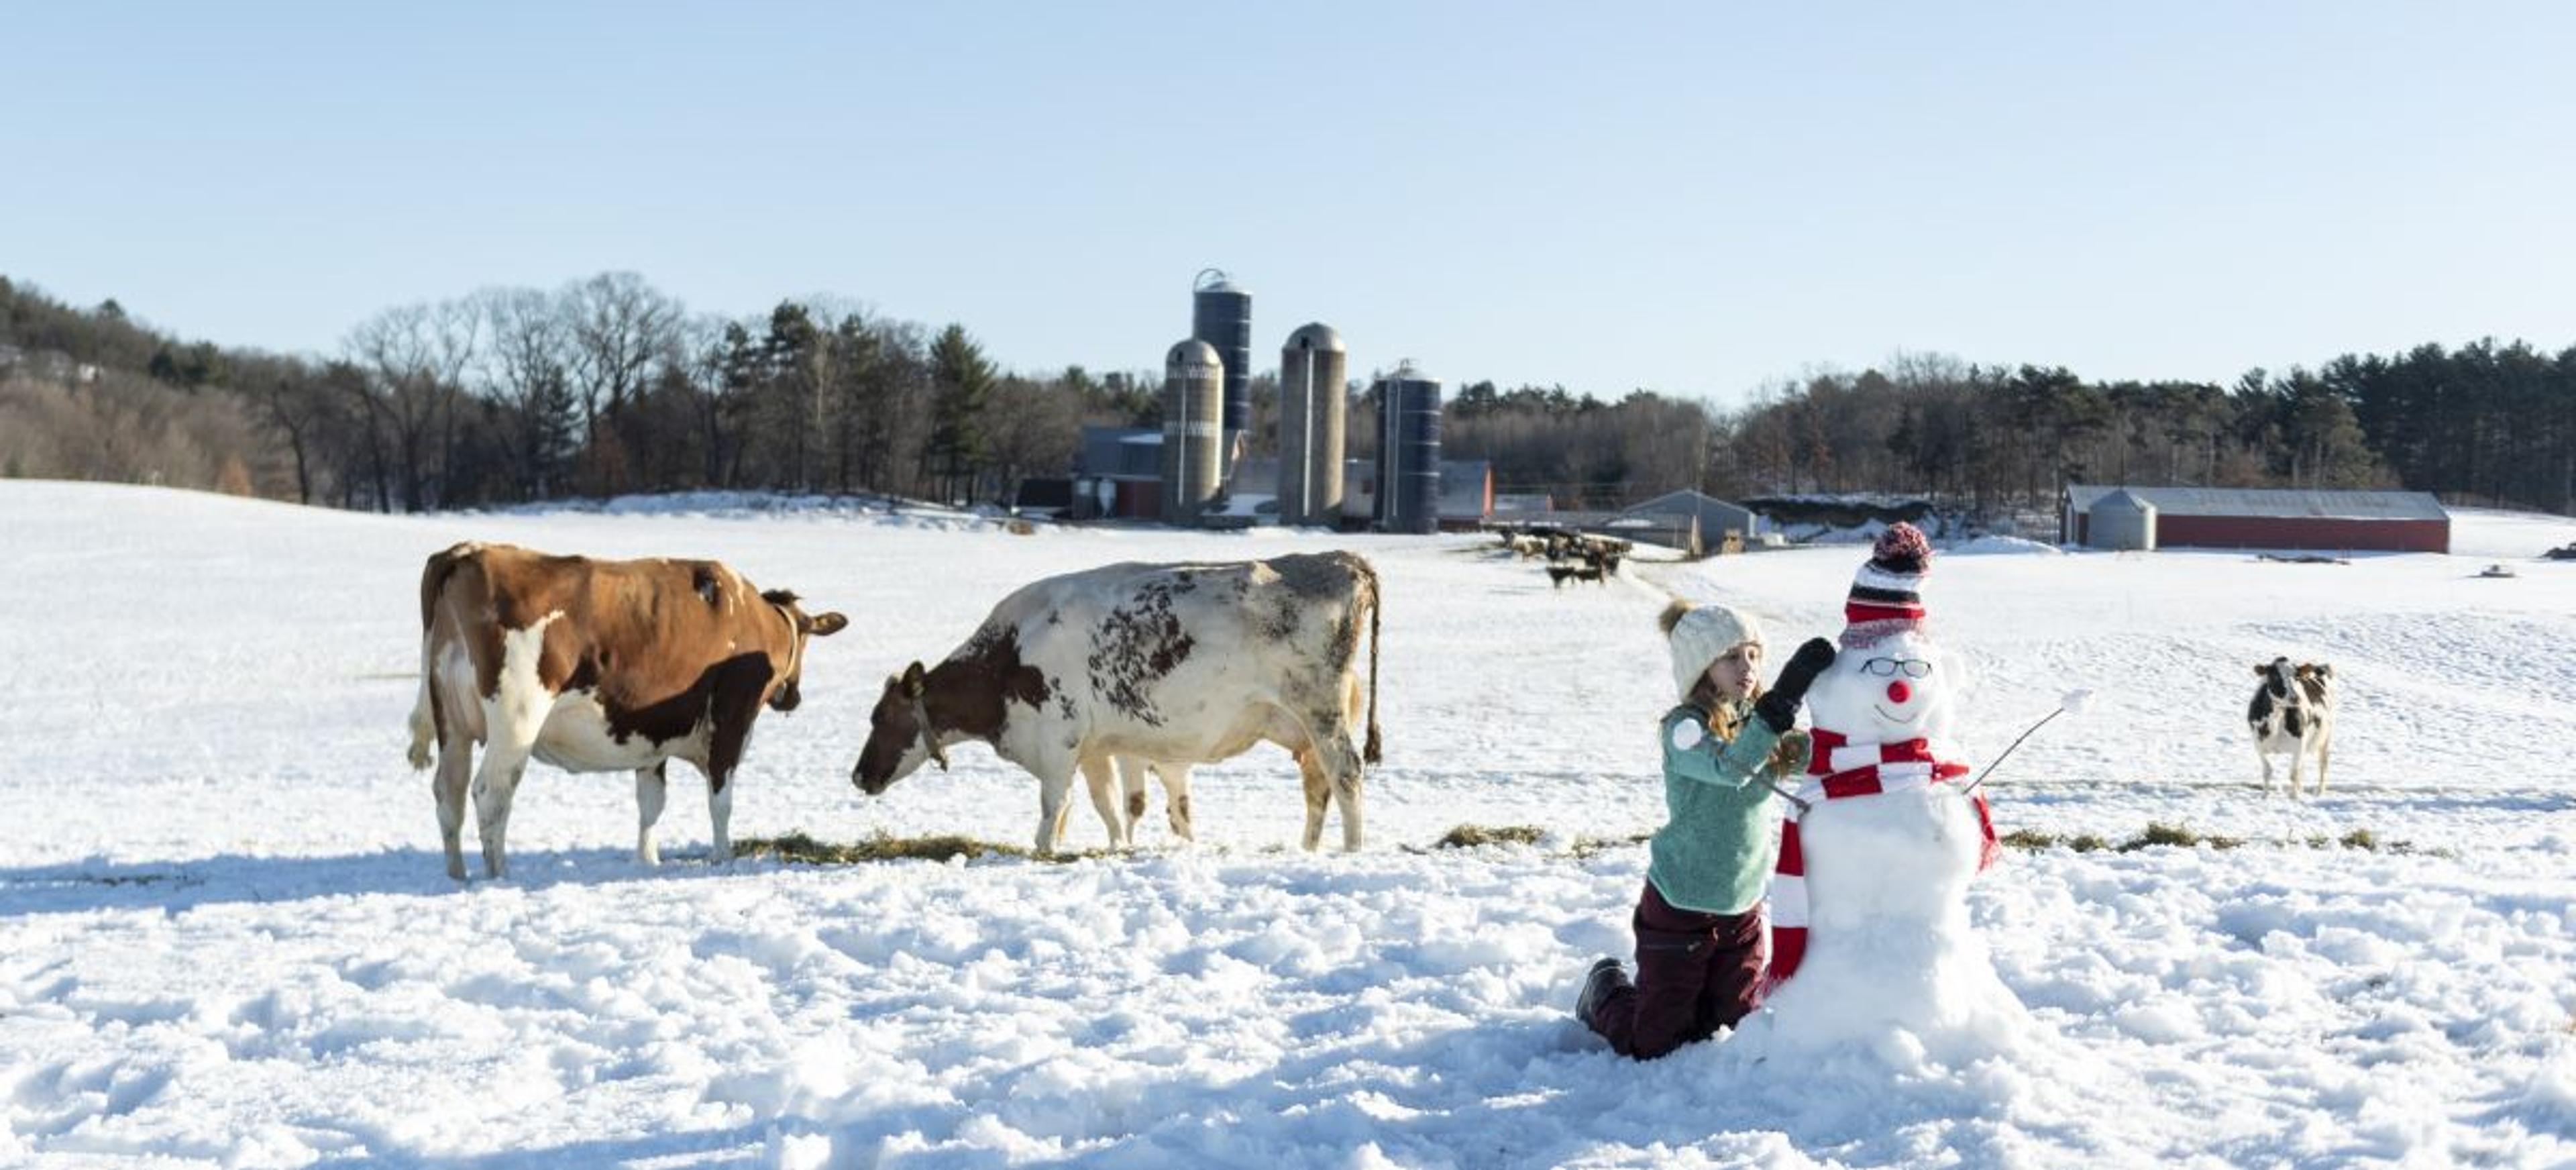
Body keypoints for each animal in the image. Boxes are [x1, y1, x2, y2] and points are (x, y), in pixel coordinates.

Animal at [405, 542, 847, 880]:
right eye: (807, 641)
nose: (792, 698)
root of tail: (468, 550)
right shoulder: (731, 720)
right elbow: (720, 801)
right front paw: (723, 858)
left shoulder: (652, 734)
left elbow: (651, 802)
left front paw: (647, 860)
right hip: (517, 719)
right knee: (491, 793)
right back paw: (499, 876)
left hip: (452, 723)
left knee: (450, 794)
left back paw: (458, 876)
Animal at [851, 552, 1383, 855]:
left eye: (881, 717)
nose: (858, 776)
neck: (1008, 657)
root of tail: (1340, 559)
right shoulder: (1096, 748)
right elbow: (1106, 805)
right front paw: (1116, 847)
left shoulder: (1058, 739)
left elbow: (1053, 807)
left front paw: (1044, 848)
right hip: (1301, 726)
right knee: (1318, 784)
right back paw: (1309, 848)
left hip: (1321, 709)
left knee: (1346, 774)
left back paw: (1353, 850)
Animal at [2248, 656, 2335, 798]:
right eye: (2275, 676)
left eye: (2297, 677)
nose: (2295, 698)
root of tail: (2320, 667)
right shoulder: (2258, 742)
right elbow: (2267, 771)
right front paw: (2265, 796)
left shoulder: (2299, 744)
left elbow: (2294, 773)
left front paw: (2295, 797)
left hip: (2326, 736)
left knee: (2323, 763)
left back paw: (2319, 792)